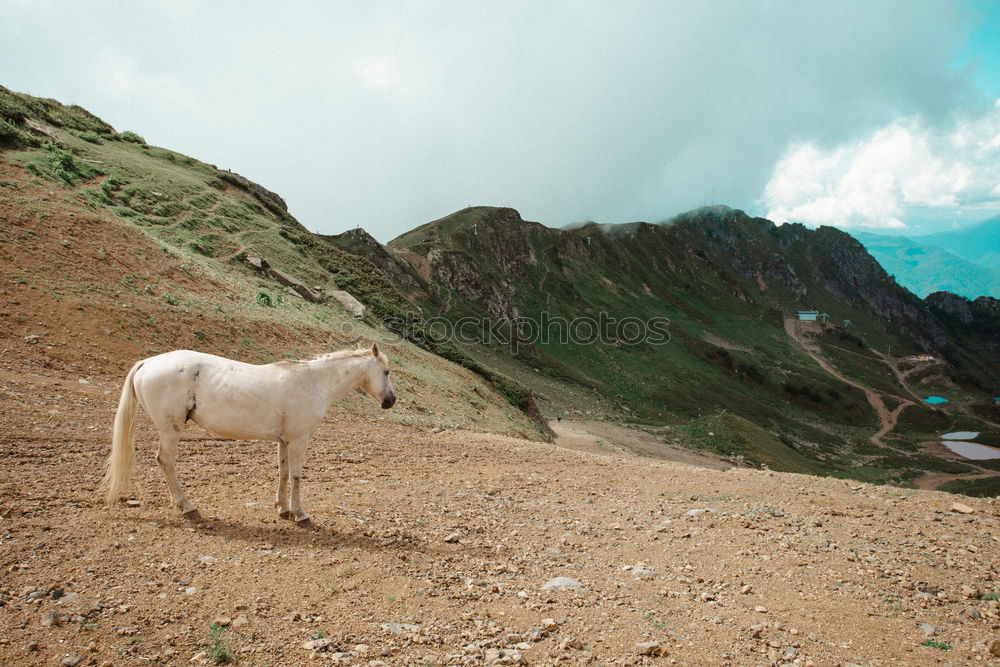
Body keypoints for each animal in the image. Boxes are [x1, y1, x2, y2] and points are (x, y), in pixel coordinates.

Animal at [102, 344, 394, 528]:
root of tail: (147, 363)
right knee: (166, 462)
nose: (390, 401)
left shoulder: (284, 441)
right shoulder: (299, 440)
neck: (313, 382)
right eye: (387, 371)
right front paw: (300, 514)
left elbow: (283, 473)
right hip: (169, 429)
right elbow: (297, 476)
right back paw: (188, 507)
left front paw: (282, 509)